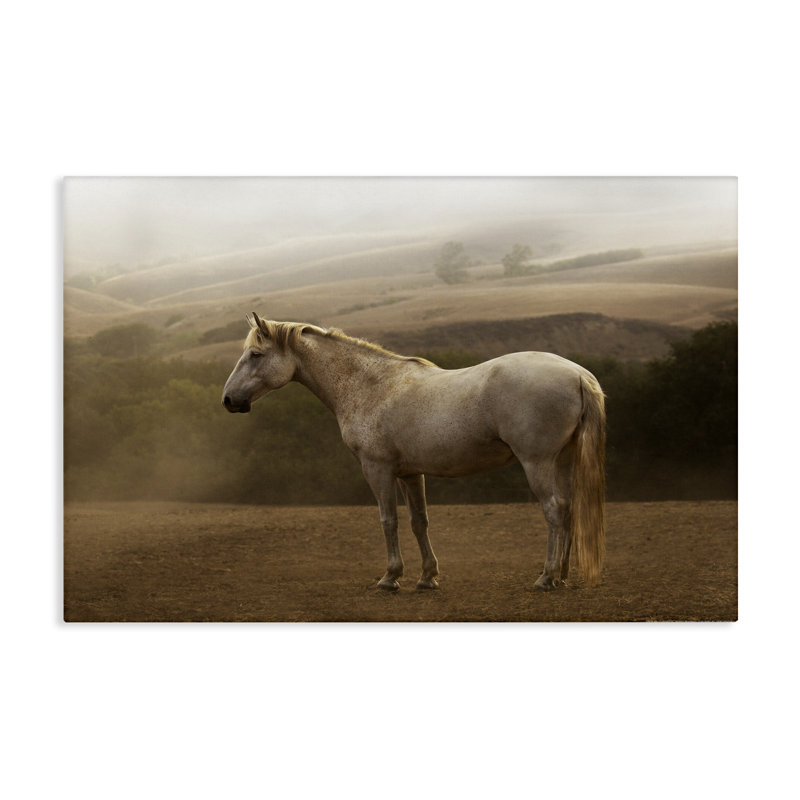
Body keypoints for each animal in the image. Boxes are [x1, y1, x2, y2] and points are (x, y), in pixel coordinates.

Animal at [222, 313, 606, 592]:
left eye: (255, 355)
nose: (228, 400)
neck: (370, 386)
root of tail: (577, 374)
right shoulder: (410, 473)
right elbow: (419, 522)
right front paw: (427, 577)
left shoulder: (377, 469)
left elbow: (388, 520)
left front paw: (390, 577)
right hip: (561, 461)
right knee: (568, 509)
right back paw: (562, 575)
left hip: (537, 463)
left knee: (553, 510)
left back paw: (546, 577)